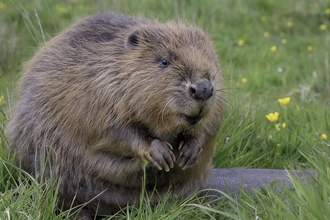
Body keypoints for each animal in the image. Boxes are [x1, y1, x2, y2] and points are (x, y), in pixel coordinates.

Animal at [7, 12, 224, 218]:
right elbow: (112, 131)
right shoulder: (96, 91)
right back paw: (81, 215)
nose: (203, 89)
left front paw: (189, 151)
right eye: (164, 61)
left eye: (209, 57)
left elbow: (212, 122)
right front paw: (160, 153)